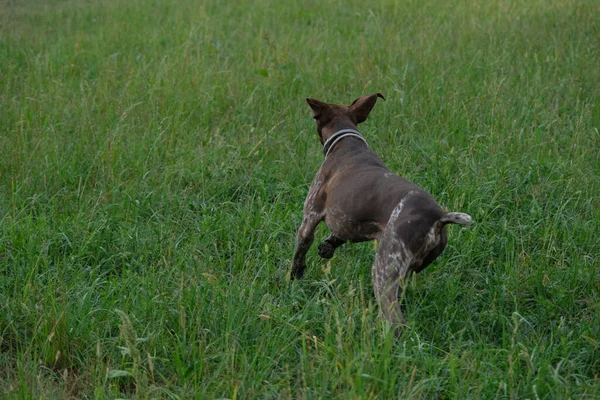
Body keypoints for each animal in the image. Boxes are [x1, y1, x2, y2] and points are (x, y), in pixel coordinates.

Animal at [290, 92, 474, 332]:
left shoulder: (310, 217)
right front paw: (327, 247)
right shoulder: (351, 224)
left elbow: (299, 253)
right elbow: (337, 237)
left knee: (395, 320)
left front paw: (294, 279)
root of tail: (438, 216)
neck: (347, 143)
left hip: (384, 269)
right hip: (404, 274)